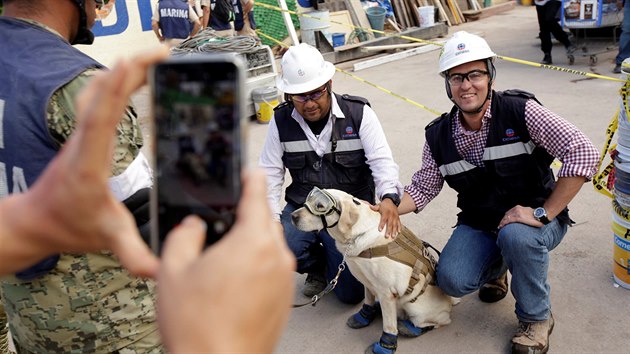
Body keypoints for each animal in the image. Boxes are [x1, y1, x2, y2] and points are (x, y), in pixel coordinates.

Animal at [294, 187, 456, 352]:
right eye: (310, 198)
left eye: (320, 206)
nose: (292, 216)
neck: (357, 235)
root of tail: (450, 301)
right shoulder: (368, 282)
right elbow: (368, 300)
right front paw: (364, 316)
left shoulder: (386, 292)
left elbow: (389, 325)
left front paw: (385, 346)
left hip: (416, 309)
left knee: (437, 322)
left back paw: (412, 327)